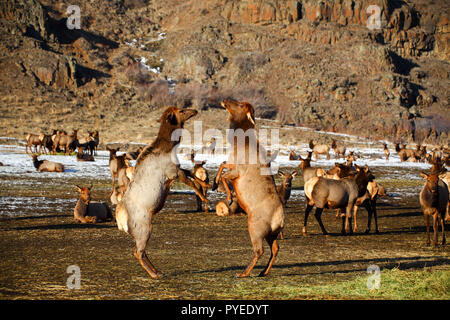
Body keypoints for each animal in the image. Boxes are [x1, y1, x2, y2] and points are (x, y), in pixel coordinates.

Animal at [116, 106, 207, 278]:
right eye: (181, 110)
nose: (195, 110)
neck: (170, 146)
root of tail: (120, 220)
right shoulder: (172, 172)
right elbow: (191, 182)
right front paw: (204, 197)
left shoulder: (177, 169)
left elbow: (192, 175)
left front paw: (207, 184)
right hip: (144, 227)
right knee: (138, 251)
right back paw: (154, 274)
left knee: (138, 251)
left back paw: (158, 271)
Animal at [213, 100, 284, 278]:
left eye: (239, 105)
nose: (225, 100)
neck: (238, 142)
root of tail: (280, 218)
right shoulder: (231, 164)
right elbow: (222, 164)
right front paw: (214, 183)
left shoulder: (237, 170)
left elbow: (224, 174)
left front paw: (228, 197)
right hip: (271, 233)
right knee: (275, 249)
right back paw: (263, 272)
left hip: (255, 227)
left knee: (260, 250)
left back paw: (243, 273)